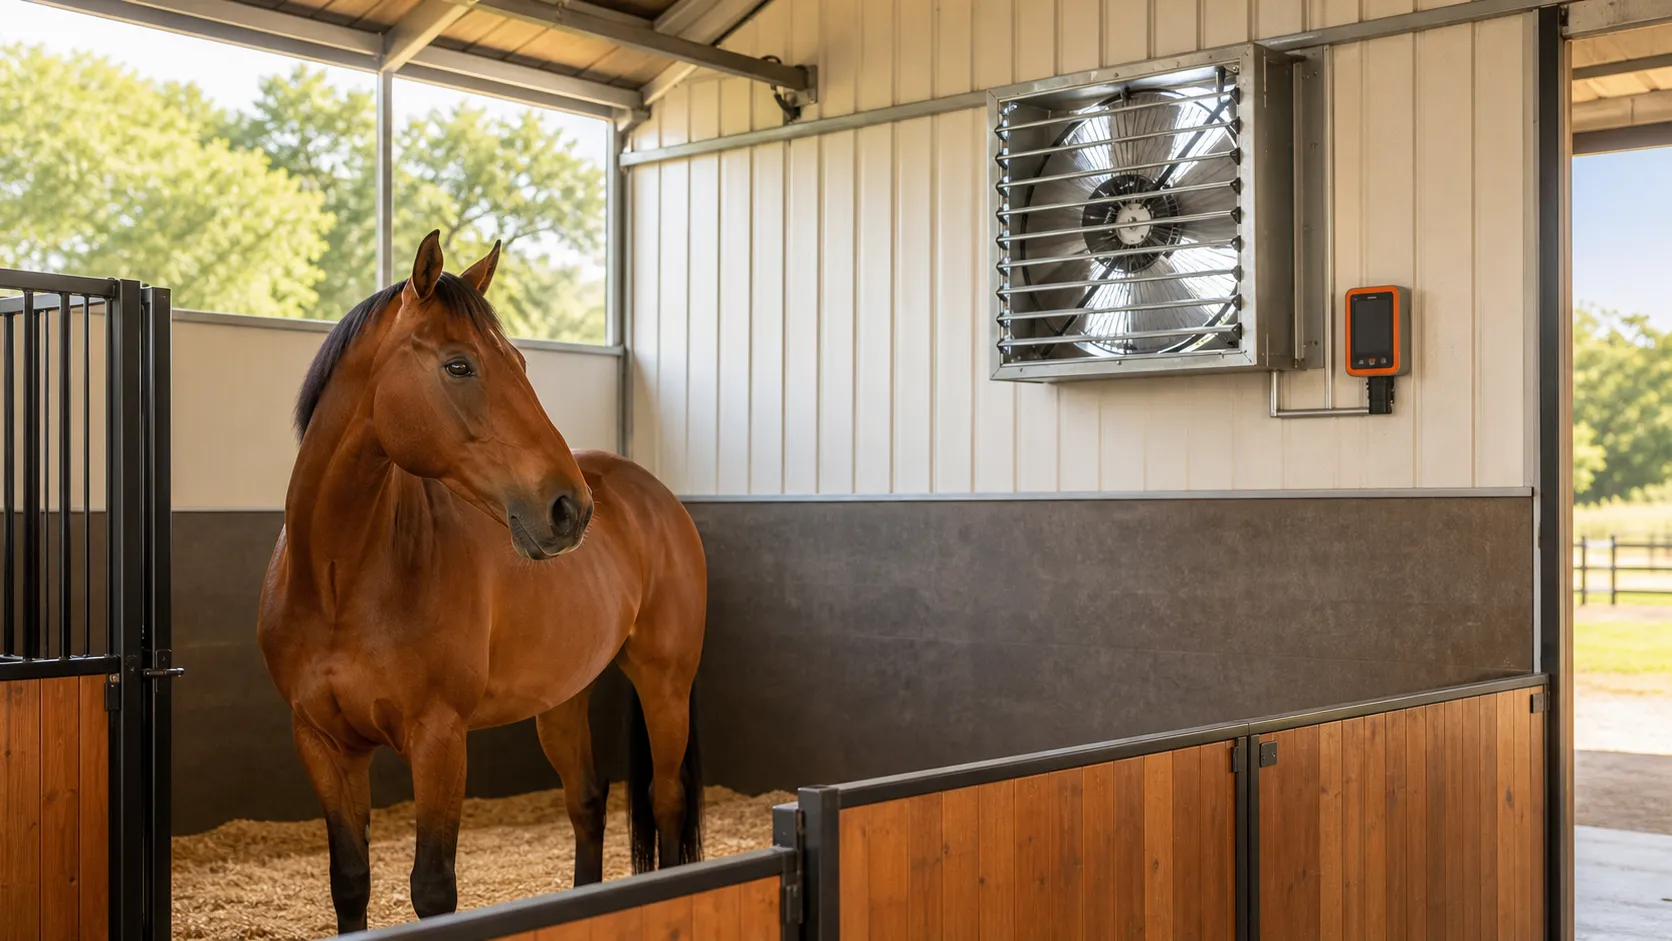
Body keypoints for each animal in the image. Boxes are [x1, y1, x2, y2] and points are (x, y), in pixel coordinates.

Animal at [256, 231, 708, 933]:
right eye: (460, 366)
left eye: (519, 361)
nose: (568, 508)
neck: (339, 582)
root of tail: (656, 496)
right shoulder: (324, 743)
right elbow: (350, 882)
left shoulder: (439, 739)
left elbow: (433, 888)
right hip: (562, 698)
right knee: (587, 801)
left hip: (665, 686)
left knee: (665, 802)